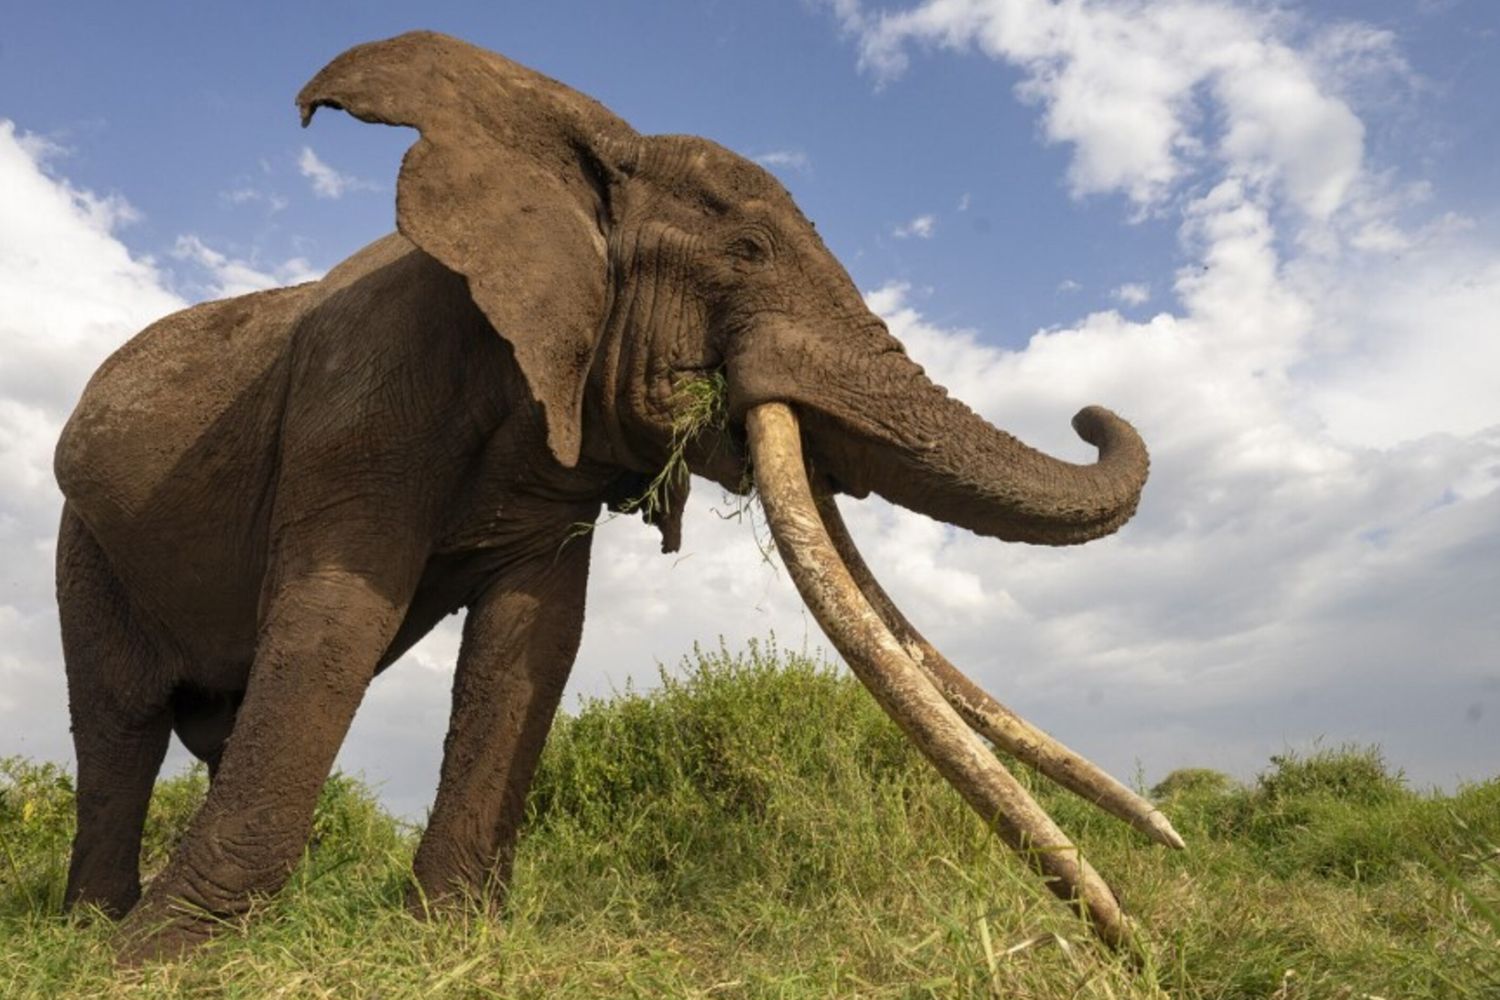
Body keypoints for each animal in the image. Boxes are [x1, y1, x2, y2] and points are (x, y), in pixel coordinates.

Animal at [53, 31, 1180, 963]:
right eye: (748, 253)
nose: (1090, 413)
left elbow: (533, 636)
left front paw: (450, 943)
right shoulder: (363, 393)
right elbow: (336, 620)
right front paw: (157, 961)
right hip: (85, 536)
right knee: (121, 717)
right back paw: (93, 931)